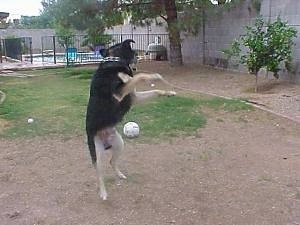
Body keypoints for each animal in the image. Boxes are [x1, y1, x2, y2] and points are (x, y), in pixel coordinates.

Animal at [85, 39, 176, 200]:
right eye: (134, 52)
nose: (141, 56)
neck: (114, 61)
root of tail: (106, 142)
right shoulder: (119, 93)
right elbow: (139, 76)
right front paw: (153, 77)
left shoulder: (134, 97)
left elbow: (154, 89)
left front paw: (168, 92)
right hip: (97, 152)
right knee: (99, 173)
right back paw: (103, 193)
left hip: (119, 144)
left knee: (112, 162)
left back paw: (120, 175)